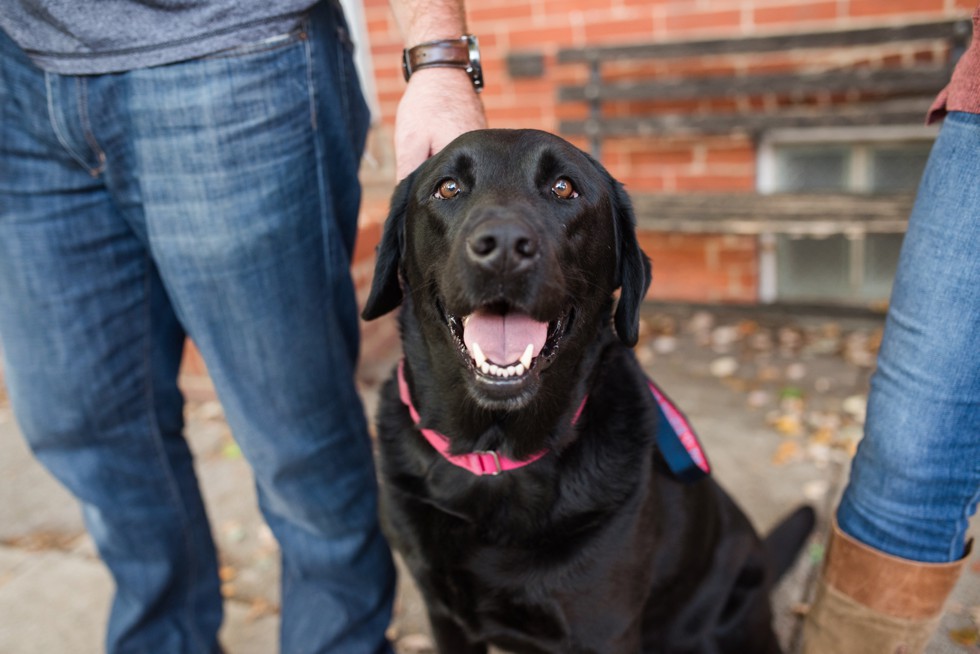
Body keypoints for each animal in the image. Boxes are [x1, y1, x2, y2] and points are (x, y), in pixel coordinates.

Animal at [360, 129, 812, 654]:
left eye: (563, 188)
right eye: (448, 188)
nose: (504, 246)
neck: (498, 456)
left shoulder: (603, 629)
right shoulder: (445, 615)